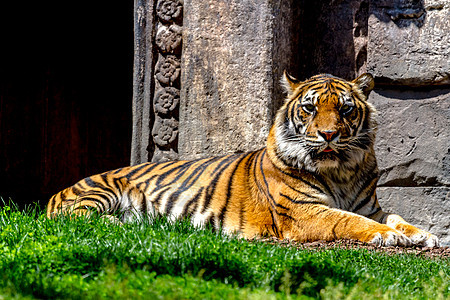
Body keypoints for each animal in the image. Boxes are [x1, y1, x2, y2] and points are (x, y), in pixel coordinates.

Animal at [46, 72, 440, 246]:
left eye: (344, 110)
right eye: (310, 108)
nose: (329, 135)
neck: (340, 170)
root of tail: (56, 191)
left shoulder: (370, 205)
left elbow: (396, 217)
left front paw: (422, 234)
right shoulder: (304, 213)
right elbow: (348, 221)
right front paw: (389, 237)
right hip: (103, 191)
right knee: (75, 218)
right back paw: (118, 223)